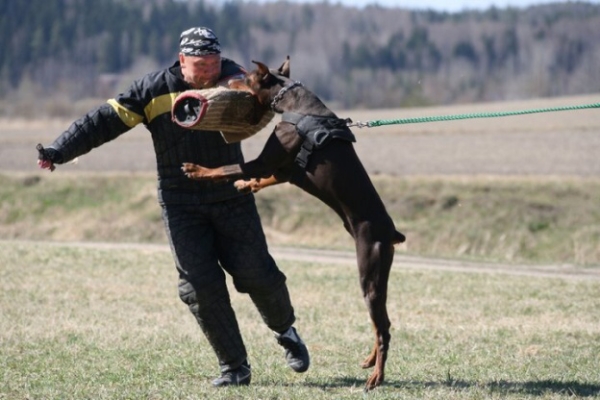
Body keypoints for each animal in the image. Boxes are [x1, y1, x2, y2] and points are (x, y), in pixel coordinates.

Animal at [180, 57, 406, 390]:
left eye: (245, 77)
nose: (226, 80)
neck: (295, 103)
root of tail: (391, 232)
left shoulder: (267, 159)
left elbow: (227, 167)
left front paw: (197, 169)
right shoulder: (287, 171)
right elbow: (265, 177)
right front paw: (245, 186)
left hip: (369, 271)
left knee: (383, 328)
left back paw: (376, 376)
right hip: (382, 273)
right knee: (382, 322)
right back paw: (369, 360)